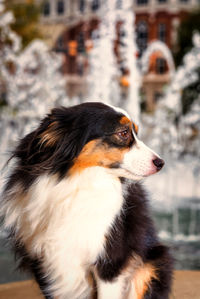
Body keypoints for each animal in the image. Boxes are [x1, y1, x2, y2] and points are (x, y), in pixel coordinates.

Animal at [0, 103, 173, 299]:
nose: (161, 163)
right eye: (123, 133)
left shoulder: (110, 262)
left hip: (152, 264)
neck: (75, 182)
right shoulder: (43, 264)